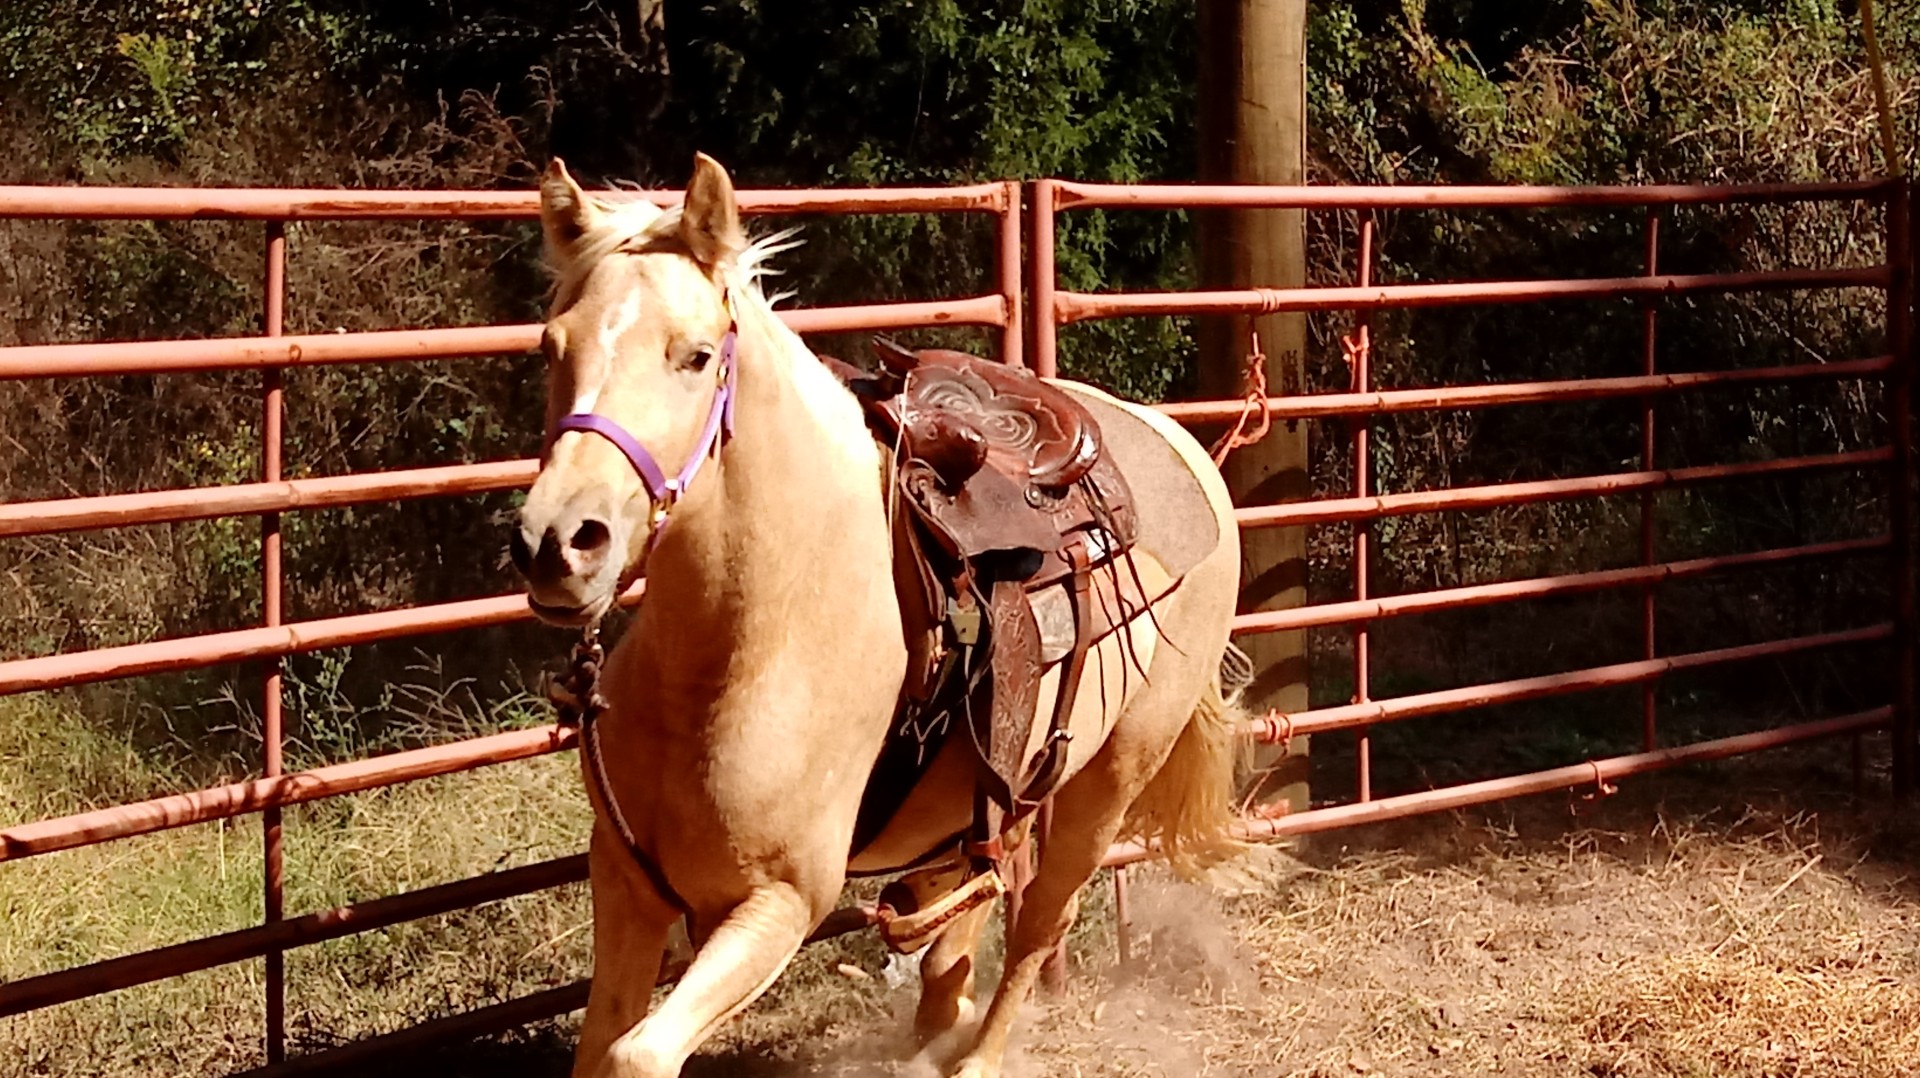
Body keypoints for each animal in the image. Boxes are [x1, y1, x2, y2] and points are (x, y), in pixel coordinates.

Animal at [511, 152, 1247, 1078]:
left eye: (697, 355)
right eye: (551, 346)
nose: (559, 541)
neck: (747, 646)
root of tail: (1184, 447)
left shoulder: (777, 906)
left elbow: (636, 1055)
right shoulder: (625, 884)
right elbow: (603, 1043)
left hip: (1111, 781)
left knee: (1042, 920)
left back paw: (976, 1055)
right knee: (970, 904)